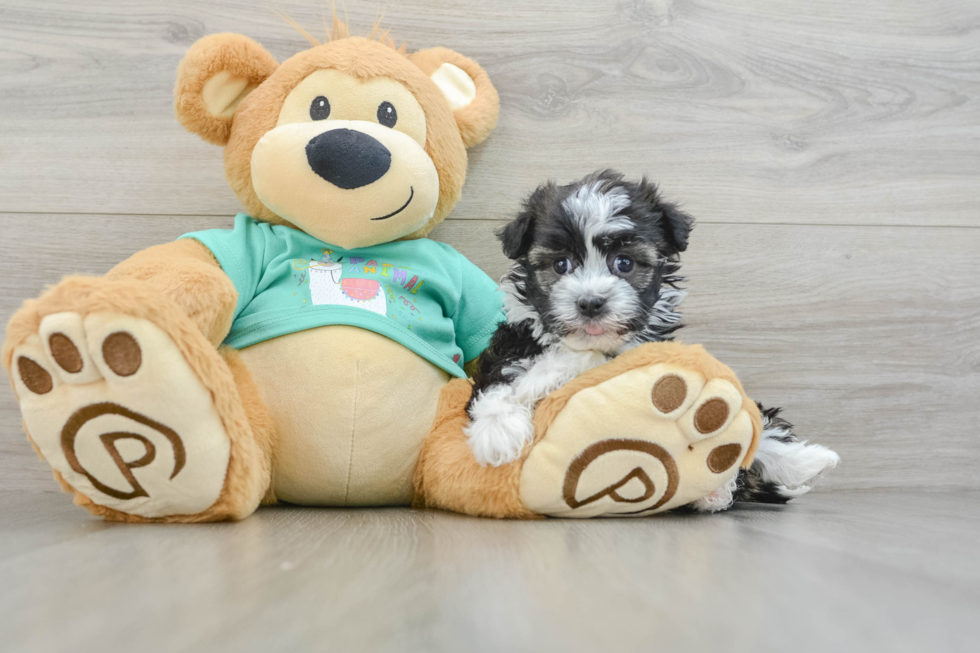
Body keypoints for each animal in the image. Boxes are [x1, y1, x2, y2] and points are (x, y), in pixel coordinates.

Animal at [468, 171, 836, 512]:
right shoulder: (511, 344)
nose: (590, 303)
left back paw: (803, 462)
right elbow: (502, 378)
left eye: (624, 263)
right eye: (561, 264)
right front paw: (497, 431)